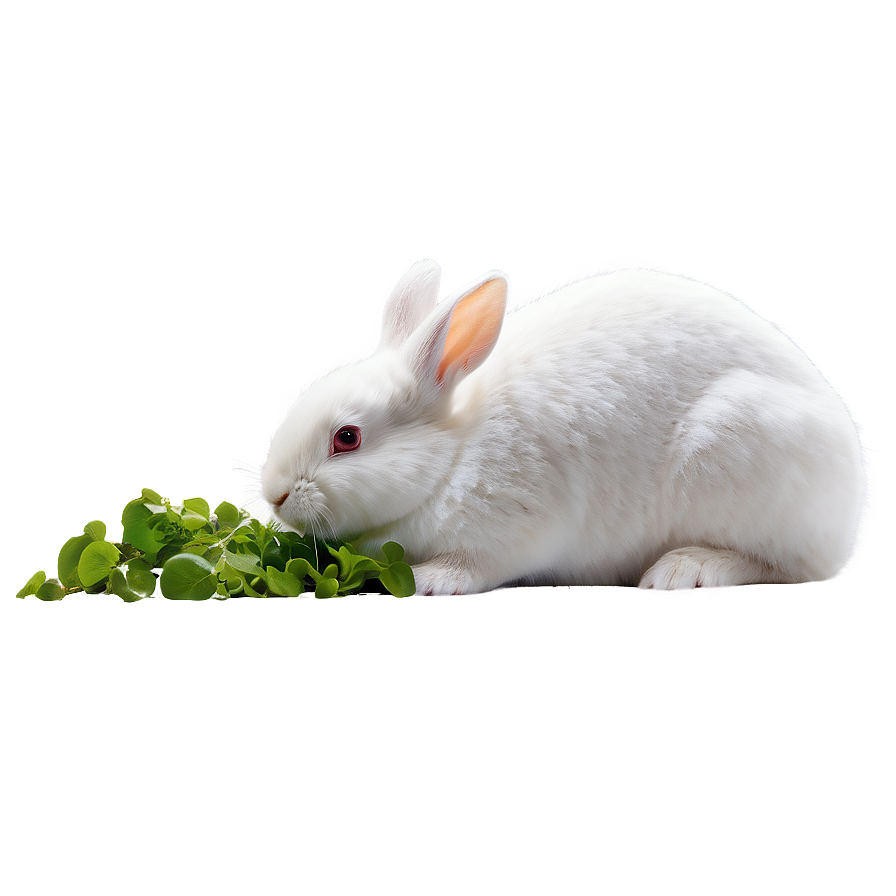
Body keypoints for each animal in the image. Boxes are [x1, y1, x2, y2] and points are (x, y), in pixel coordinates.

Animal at [261, 258, 868, 594]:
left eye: (347, 438)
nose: (274, 496)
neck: (452, 456)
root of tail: (847, 517)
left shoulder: (515, 525)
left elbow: (475, 565)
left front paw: (433, 582)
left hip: (737, 453)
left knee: (783, 567)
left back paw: (683, 571)